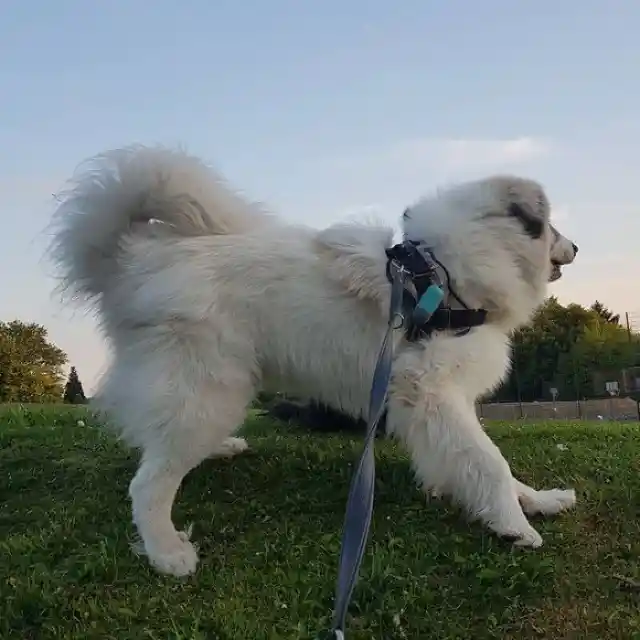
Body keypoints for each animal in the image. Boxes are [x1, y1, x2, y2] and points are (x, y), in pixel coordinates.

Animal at [50, 148, 580, 576]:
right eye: (552, 226)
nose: (575, 247)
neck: (446, 274)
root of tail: (136, 260)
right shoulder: (430, 392)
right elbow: (490, 462)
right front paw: (514, 526)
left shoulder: (440, 403)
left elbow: (480, 461)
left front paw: (537, 501)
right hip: (208, 391)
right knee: (147, 484)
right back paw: (166, 553)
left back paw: (219, 450)